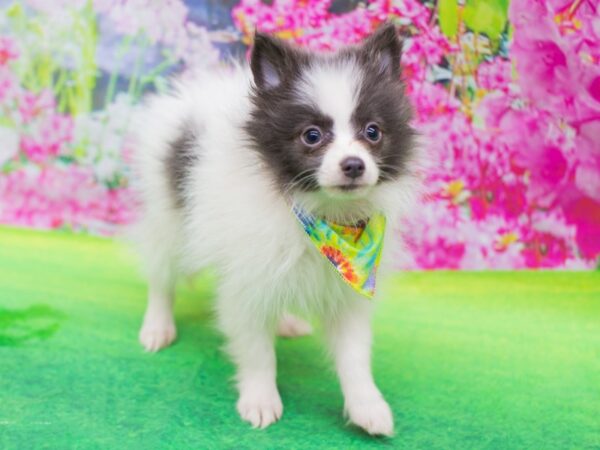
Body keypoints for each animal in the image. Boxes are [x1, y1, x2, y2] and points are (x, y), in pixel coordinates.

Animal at [132, 22, 418, 436]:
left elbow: (354, 355)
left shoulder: (345, 287)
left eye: (373, 132)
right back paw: (157, 327)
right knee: (162, 275)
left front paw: (368, 406)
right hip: (169, 219)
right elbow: (256, 350)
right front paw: (260, 400)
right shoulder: (247, 278)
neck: (322, 215)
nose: (353, 165)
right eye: (312, 136)